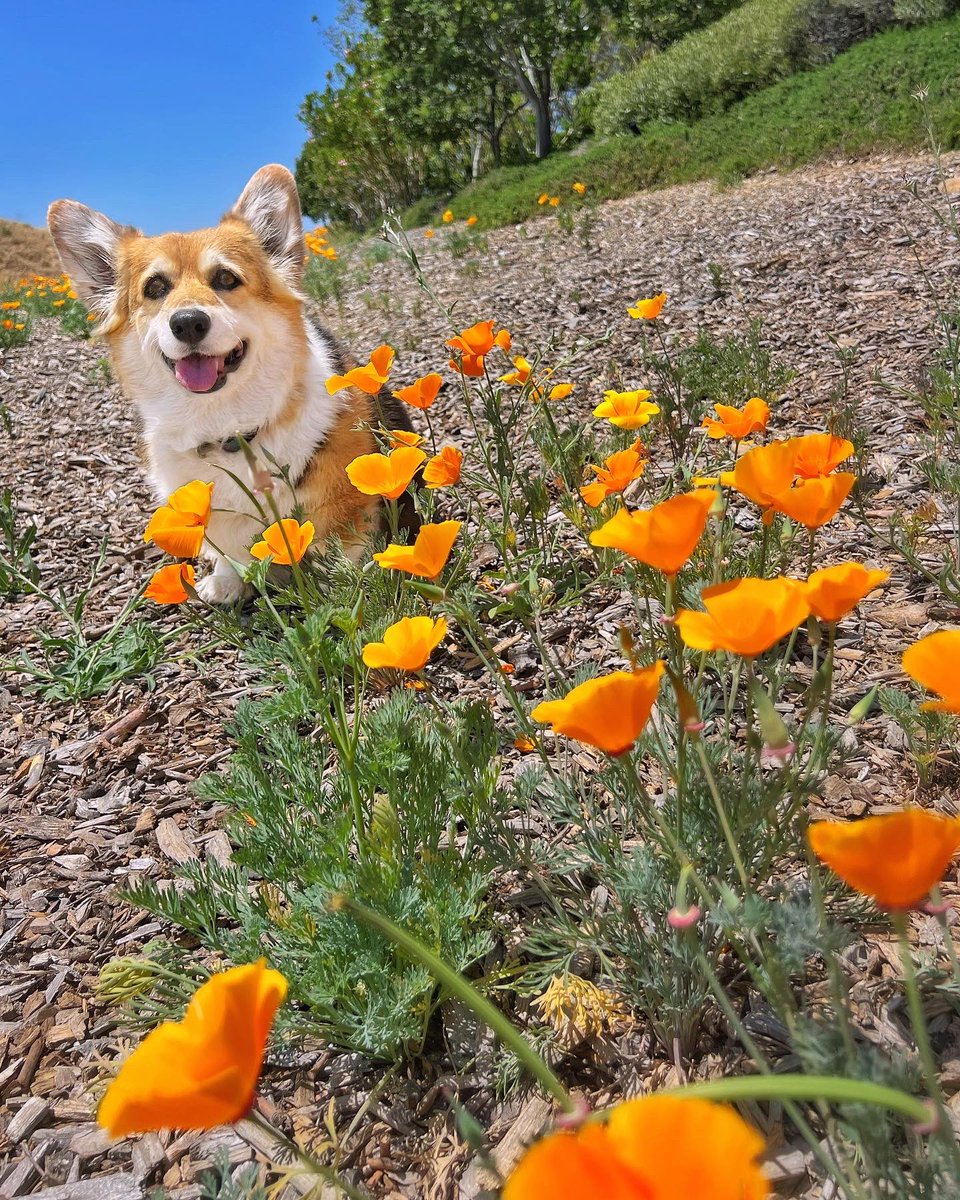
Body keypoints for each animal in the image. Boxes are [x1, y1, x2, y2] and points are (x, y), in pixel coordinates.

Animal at [47, 164, 412, 604]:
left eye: (225, 278)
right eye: (155, 287)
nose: (188, 322)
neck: (226, 426)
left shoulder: (344, 507)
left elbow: (339, 556)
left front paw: (341, 593)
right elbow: (229, 553)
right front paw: (224, 582)